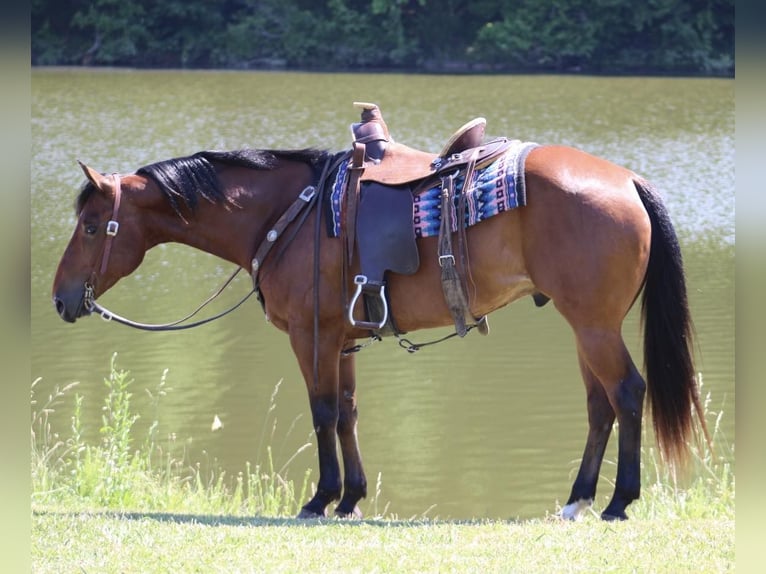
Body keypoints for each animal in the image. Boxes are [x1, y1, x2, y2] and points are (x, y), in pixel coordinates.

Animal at [51, 126, 710, 521]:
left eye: (91, 226)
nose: (60, 299)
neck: (288, 213)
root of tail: (627, 180)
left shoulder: (311, 336)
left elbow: (321, 412)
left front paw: (319, 498)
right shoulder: (341, 342)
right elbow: (346, 414)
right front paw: (351, 498)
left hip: (595, 326)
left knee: (627, 393)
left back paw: (619, 502)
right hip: (585, 327)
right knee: (600, 405)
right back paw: (577, 500)